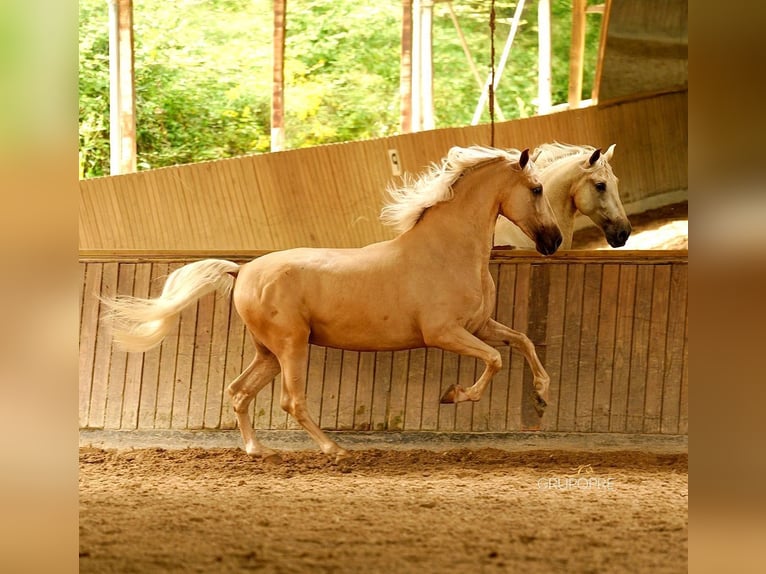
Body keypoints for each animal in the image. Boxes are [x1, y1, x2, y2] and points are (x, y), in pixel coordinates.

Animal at [102, 146, 563, 463]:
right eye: (537, 189)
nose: (554, 241)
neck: (447, 251)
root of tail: (242, 271)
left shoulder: (480, 325)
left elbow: (521, 341)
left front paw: (542, 394)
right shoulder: (445, 333)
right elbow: (495, 360)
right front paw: (454, 394)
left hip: (268, 352)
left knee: (238, 391)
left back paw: (259, 451)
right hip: (292, 345)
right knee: (291, 401)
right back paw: (335, 450)